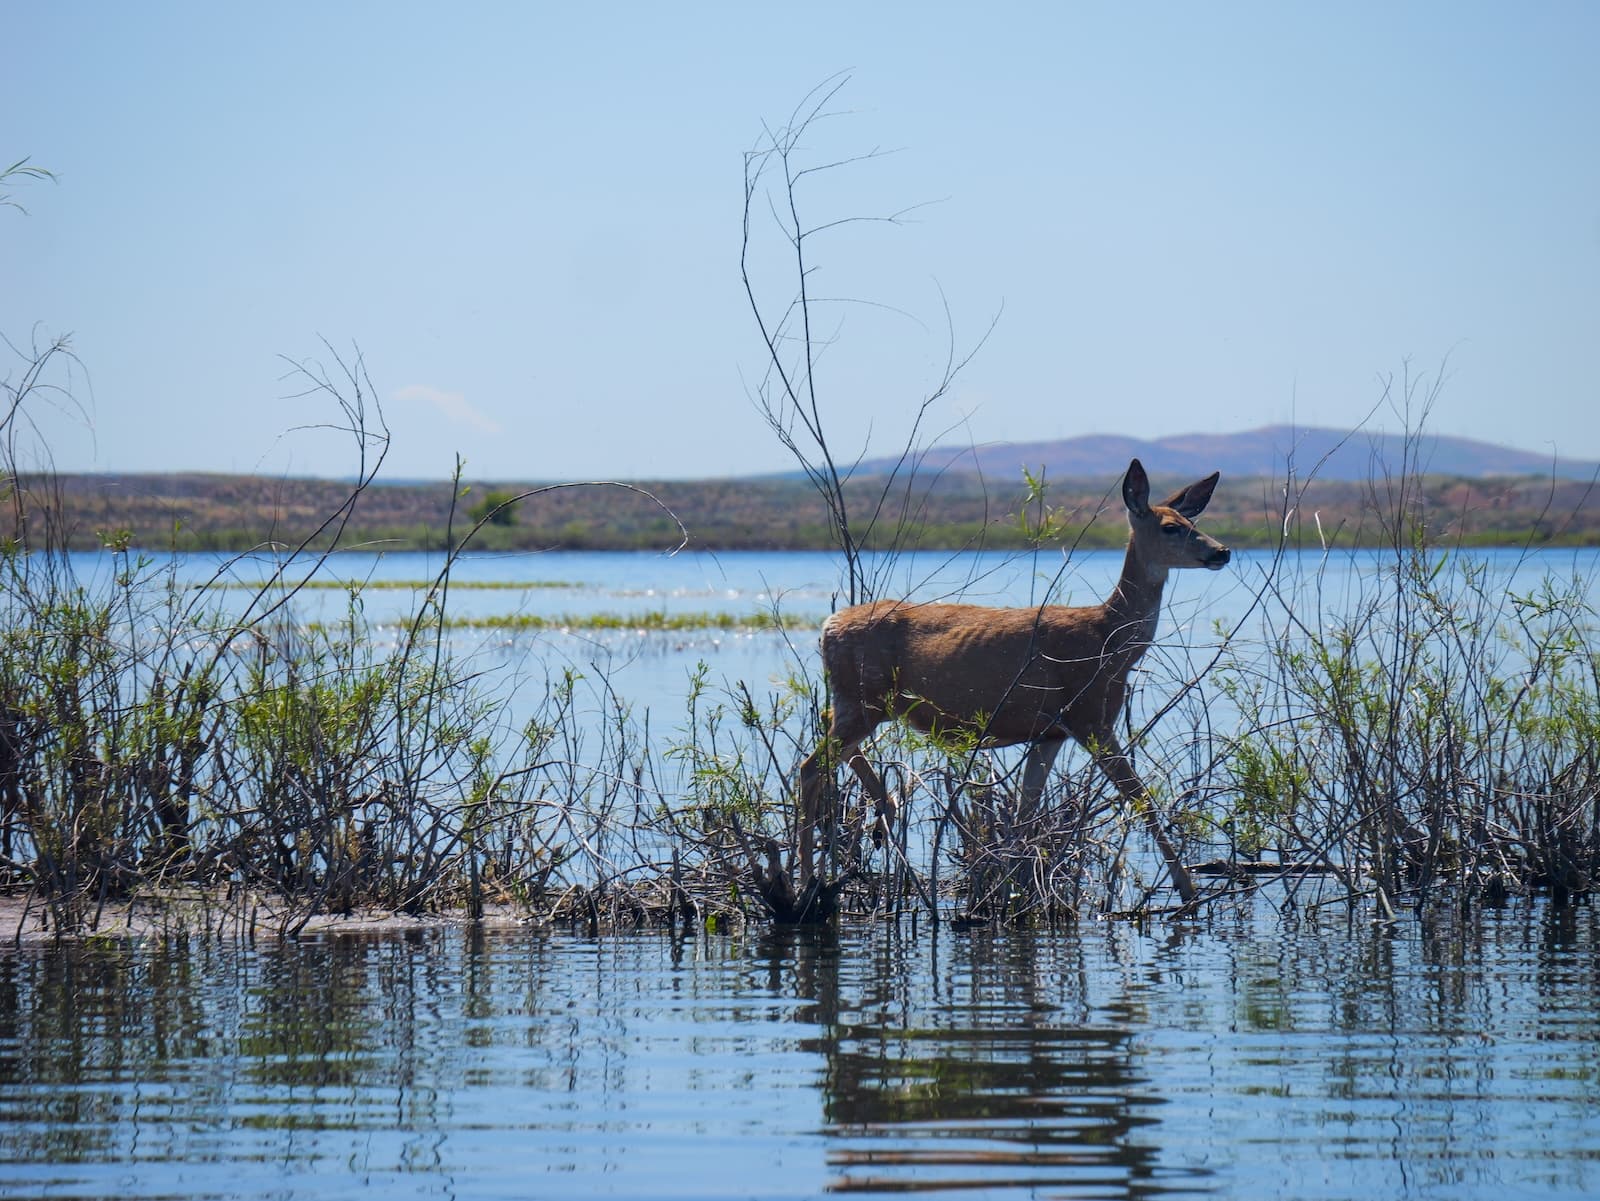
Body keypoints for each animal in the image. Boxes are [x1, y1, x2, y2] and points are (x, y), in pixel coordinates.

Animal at [796, 458, 1231, 906]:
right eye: (1170, 527)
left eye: (1193, 521)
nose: (1222, 551)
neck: (1110, 645)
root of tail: (828, 626)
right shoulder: (1089, 715)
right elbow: (1139, 796)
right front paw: (1188, 888)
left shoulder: (1051, 732)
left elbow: (1026, 812)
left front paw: (1010, 891)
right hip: (865, 698)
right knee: (810, 767)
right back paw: (809, 879)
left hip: (861, 701)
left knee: (832, 739)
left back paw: (885, 812)